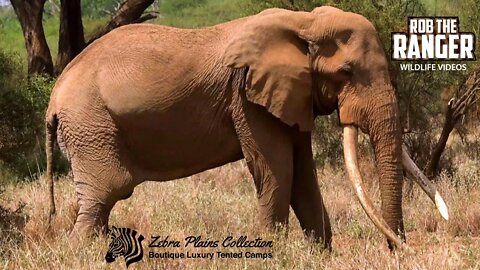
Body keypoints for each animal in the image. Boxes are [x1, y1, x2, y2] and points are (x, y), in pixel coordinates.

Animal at [45, 6, 446, 251]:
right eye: (346, 72)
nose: (396, 249)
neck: (303, 22)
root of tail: (53, 99)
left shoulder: (289, 95)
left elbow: (303, 174)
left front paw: (320, 254)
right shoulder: (246, 96)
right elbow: (278, 170)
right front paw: (276, 254)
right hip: (91, 125)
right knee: (107, 192)